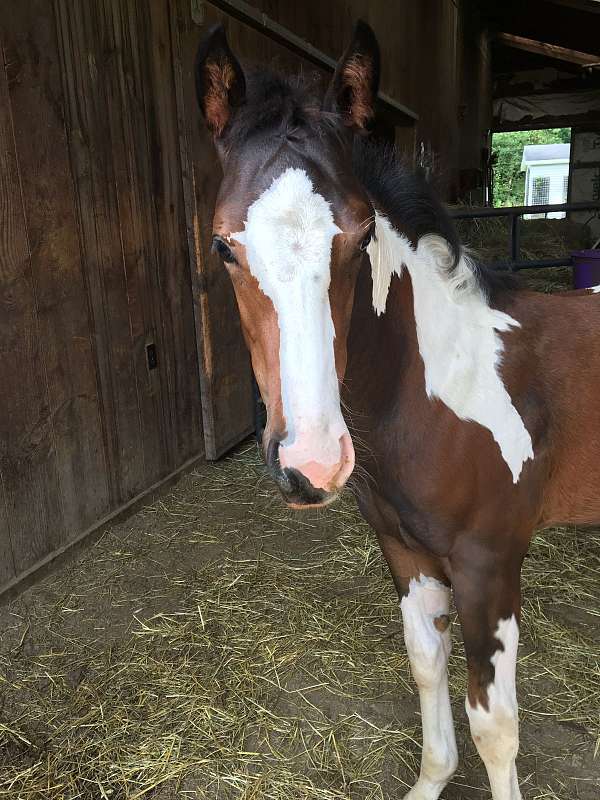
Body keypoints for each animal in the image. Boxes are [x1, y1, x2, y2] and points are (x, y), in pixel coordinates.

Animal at [194, 21, 600, 800]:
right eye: (224, 246)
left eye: (358, 237)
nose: (313, 464)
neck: (445, 386)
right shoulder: (406, 554)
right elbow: (425, 669)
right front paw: (431, 780)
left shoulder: (488, 565)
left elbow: (495, 727)